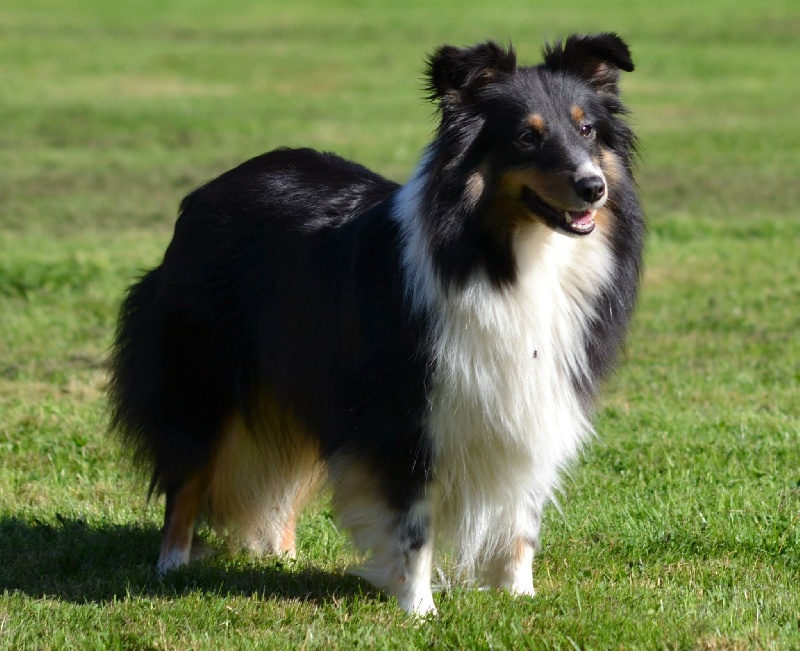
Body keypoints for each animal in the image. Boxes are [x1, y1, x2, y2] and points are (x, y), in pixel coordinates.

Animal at [108, 33, 644, 616]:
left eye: (587, 130)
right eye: (527, 136)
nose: (593, 187)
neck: (507, 256)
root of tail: (212, 189)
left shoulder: (534, 400)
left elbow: (521, 512)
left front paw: (519, 596)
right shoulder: (404, 412)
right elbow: (413, 522)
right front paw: (418, 609)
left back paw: (283, 556)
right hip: (201, 376)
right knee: (186, 476)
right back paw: (171, 565)